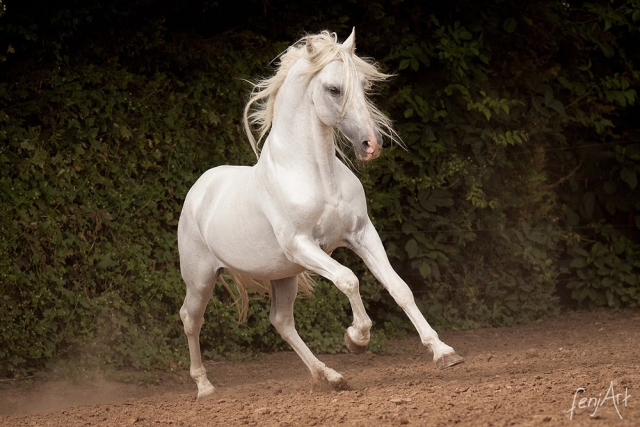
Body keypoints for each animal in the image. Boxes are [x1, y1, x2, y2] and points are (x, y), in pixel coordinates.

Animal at [178, 30, 462, 402]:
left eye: (365, 86)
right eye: (334, 89)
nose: (371, 145)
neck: (317, 176)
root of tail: (200, 188)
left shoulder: (362, 234)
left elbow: (399, 288)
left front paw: (444, 353)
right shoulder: (302, 245)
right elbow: (348, 279)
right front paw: (356, 339)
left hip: (282, 274)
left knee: (281, 322)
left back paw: (330, 377)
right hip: (201, 277)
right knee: (191, 319)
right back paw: (205, 387)